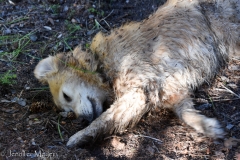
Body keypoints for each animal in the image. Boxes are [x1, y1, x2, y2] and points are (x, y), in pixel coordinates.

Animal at [34, 0, 240, 148]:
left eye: (66, 96)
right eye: (67, 111)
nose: (82, 120)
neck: (102, 64)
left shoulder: (141, 91)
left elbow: (106, 118)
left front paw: (80, 136)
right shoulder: (169, 91)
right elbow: (185, 113)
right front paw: (206, 126)